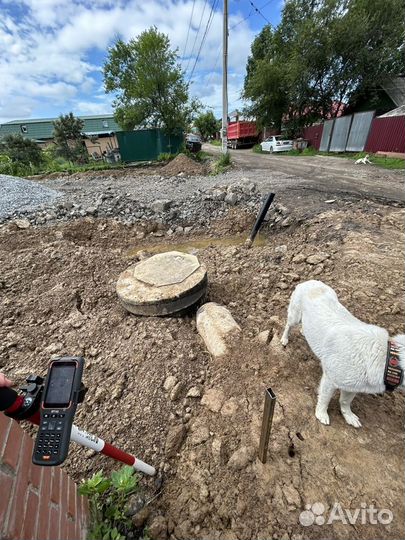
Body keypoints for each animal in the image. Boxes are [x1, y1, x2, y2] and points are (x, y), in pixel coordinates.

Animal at [280, 280, 404, 428]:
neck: (388, 361)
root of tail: (309, 281)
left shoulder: (353, 385)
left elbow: (345, 402)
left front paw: (348, 416)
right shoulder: (330, 379)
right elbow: (325, 398)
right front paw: (321, 414)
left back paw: (304, 332)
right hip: (295, 315)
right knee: (288, 325)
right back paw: (284, 339)